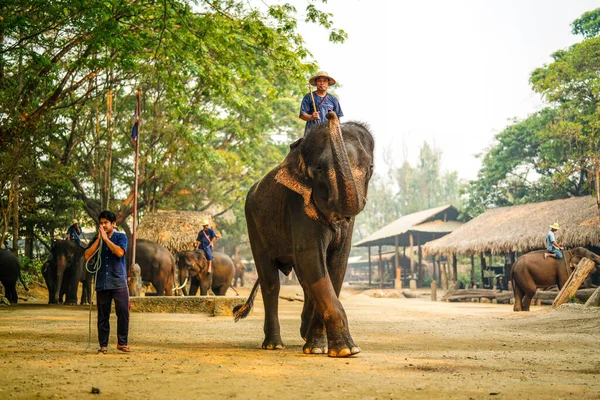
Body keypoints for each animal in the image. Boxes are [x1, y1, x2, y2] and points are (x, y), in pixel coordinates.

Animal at [232, 111, 372, 358]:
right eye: (319, 170)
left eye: (370, 169)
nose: (330, 113)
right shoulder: (297, 203)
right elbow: (311, 256)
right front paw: (347, 350)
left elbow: (337, 263)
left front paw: (319, 347)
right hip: (253, 224)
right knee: (271, 282)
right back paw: (273, 344)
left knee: (303, 280)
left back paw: (304, 334)